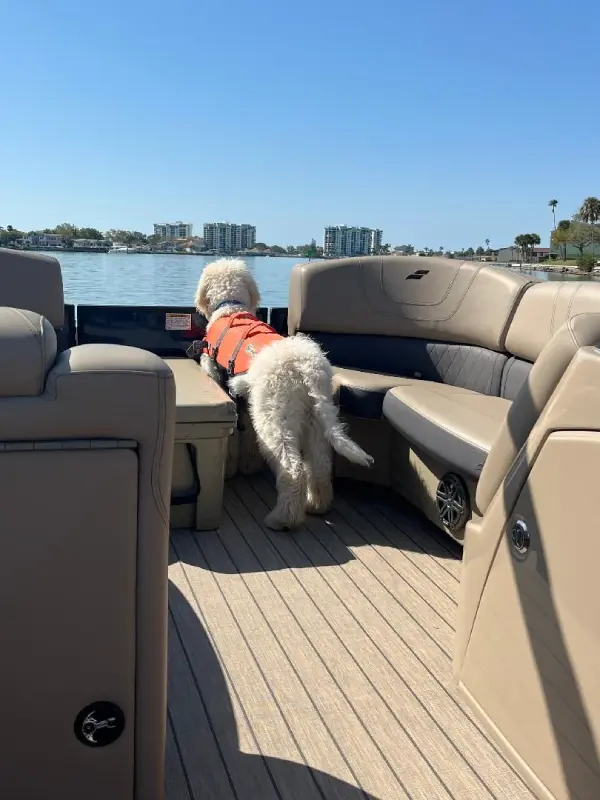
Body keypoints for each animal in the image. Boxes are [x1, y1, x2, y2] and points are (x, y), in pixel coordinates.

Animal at [197, 258, 372, 532]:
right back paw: (317, 505)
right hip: (315, 417)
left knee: (293, 468)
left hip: (274, 418)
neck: (230, 306)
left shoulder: (216, 374)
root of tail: (304, 366)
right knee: (320, 465)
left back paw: (283, 519)